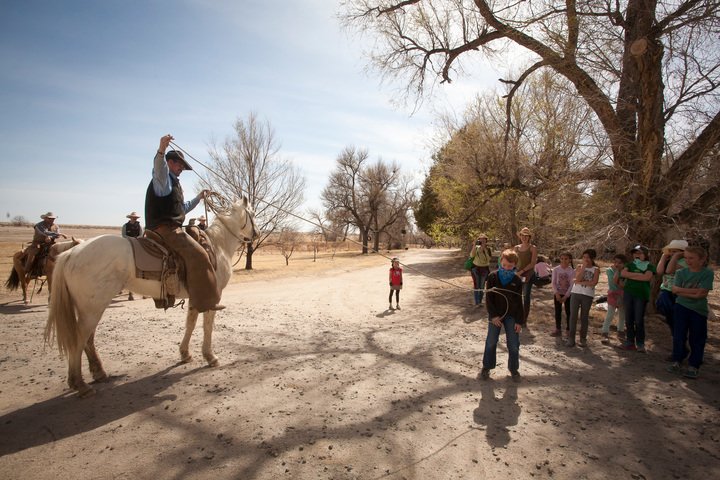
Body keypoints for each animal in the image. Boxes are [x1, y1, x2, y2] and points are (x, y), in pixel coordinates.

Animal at [43, 199, 258, 398]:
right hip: (92, 308)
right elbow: (207, 326)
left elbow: (190, 323)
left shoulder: (195, 297)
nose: (255, 235)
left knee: (88, 339)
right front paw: (210, 357)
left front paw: (185, 353)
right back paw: (80, 384)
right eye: (252, 213)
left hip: (89, 307)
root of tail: (71, 253)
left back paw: (98, 373)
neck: (218, 245)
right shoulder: (211, 296)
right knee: (80, 339)